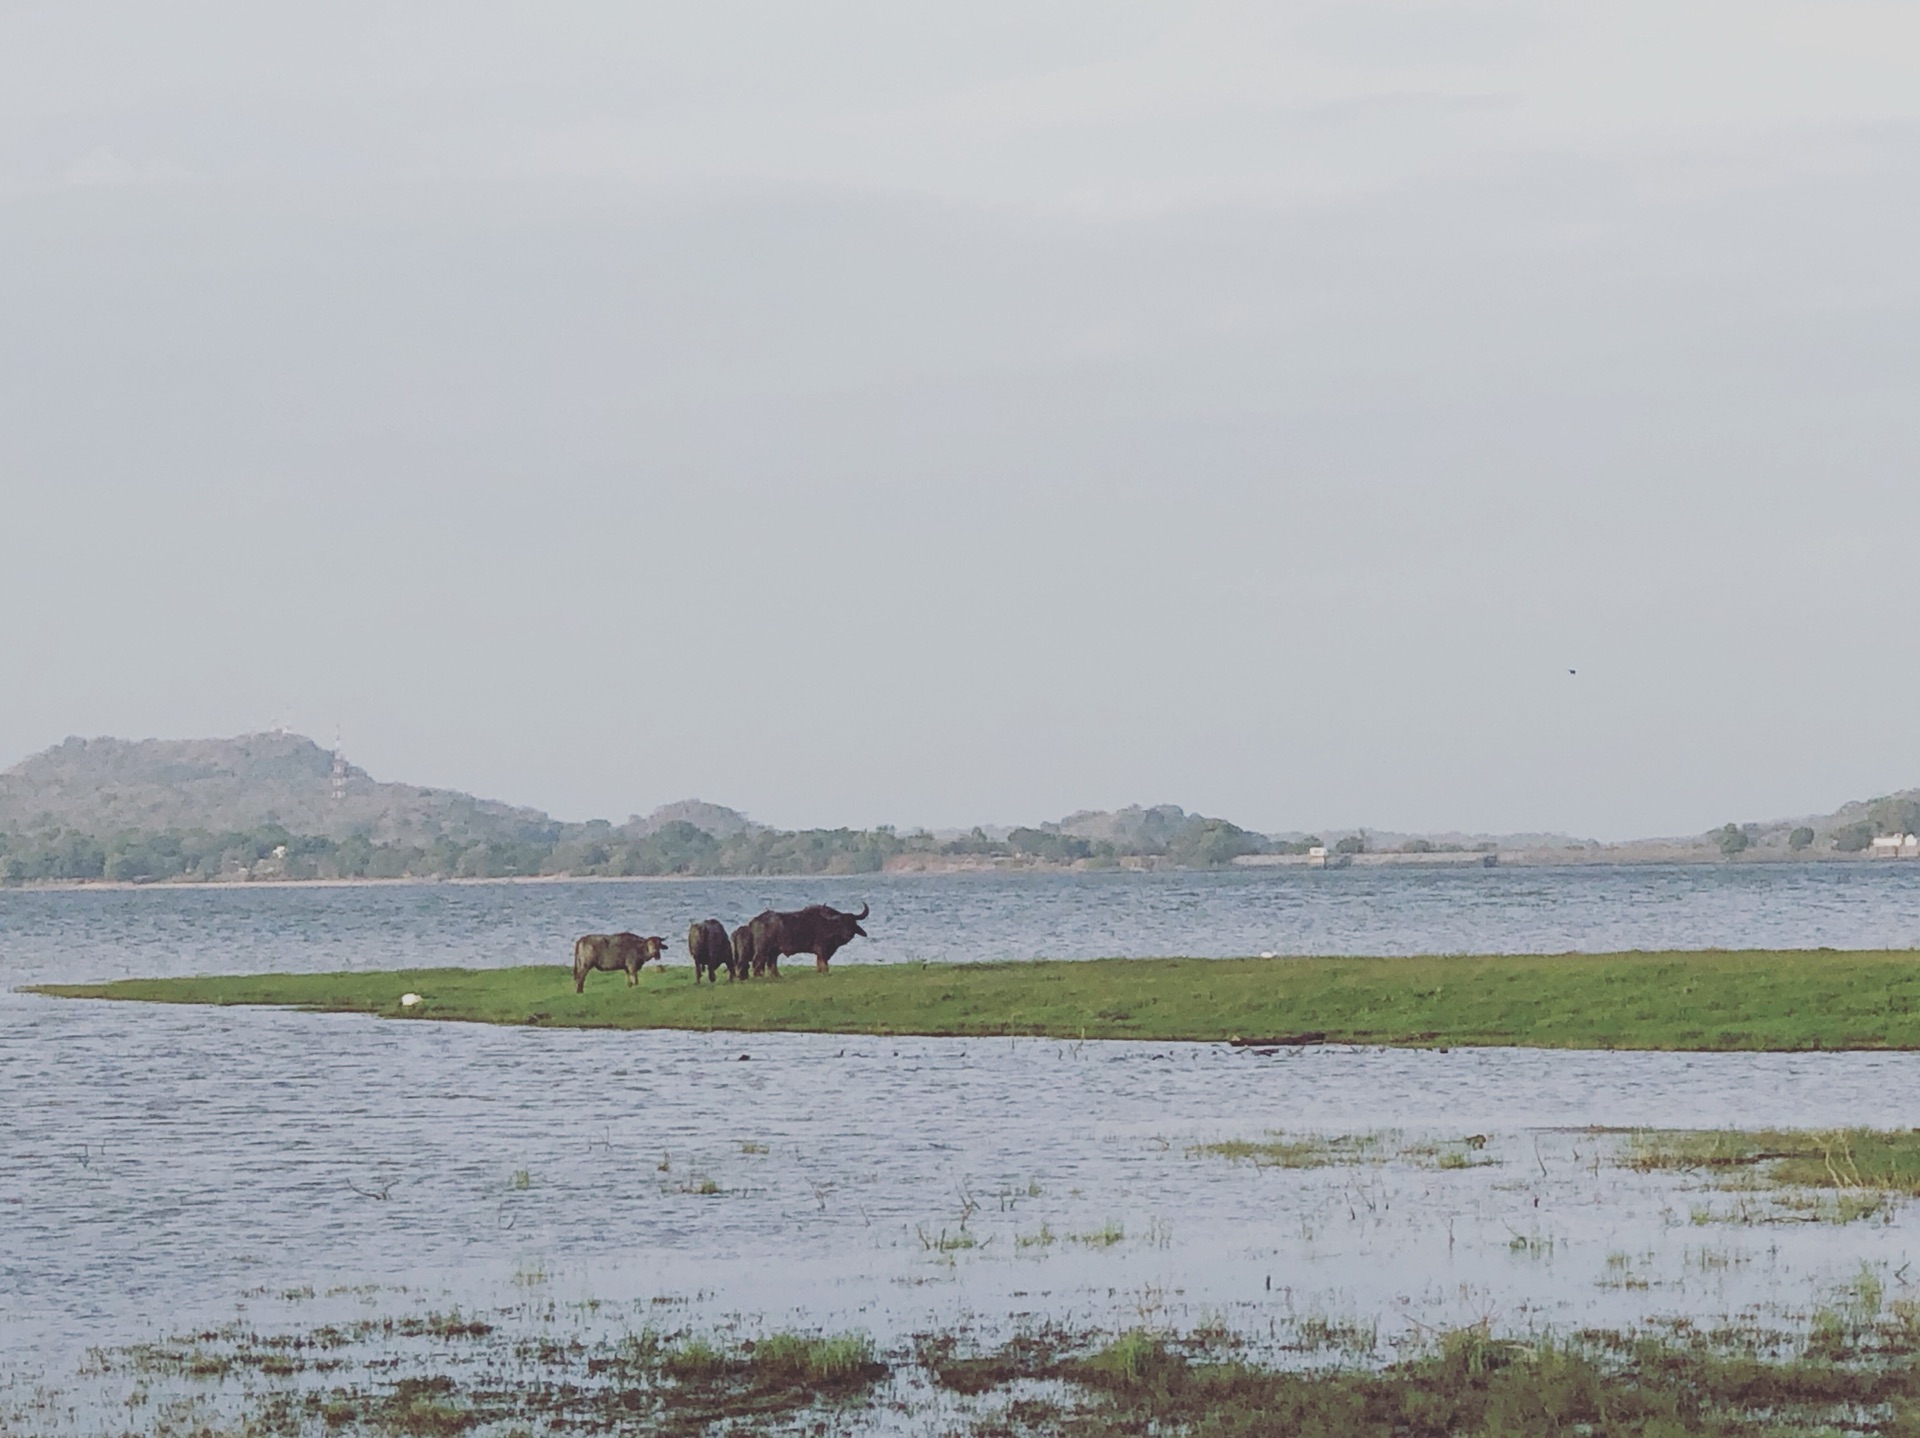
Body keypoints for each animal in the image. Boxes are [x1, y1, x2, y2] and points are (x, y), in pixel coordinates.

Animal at [744, 898, 875, 975]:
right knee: (757, 962)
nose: (848, 933)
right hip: (762, 949)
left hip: (774, 951)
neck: (828, 925)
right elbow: (824, 963)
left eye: (852, 923)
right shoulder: (822, 949)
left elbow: (819, 963)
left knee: (771, 963)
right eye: (840, 923)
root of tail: (754, 921)